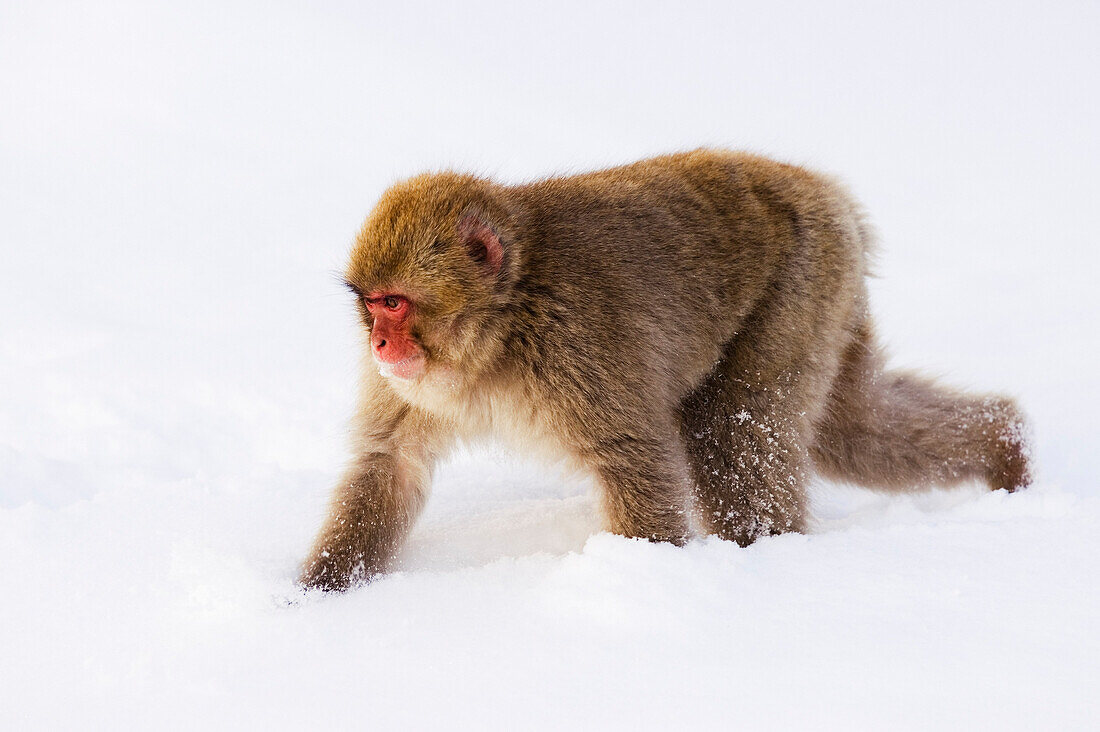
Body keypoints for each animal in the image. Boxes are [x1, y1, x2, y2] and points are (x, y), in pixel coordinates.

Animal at [297, 150, 1025, 590]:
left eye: (396, 303)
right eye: (370, 303)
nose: (380, 345)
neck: (502, 326)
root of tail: (822, 188)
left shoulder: (577, 345)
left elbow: (633, 459)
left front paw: (643, 579)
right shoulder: (410, 388)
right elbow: (390, 465)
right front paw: (316, 597)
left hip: (803, 282)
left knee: (736, 431)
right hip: (832, 299)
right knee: (851, 426)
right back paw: (1003, 443)